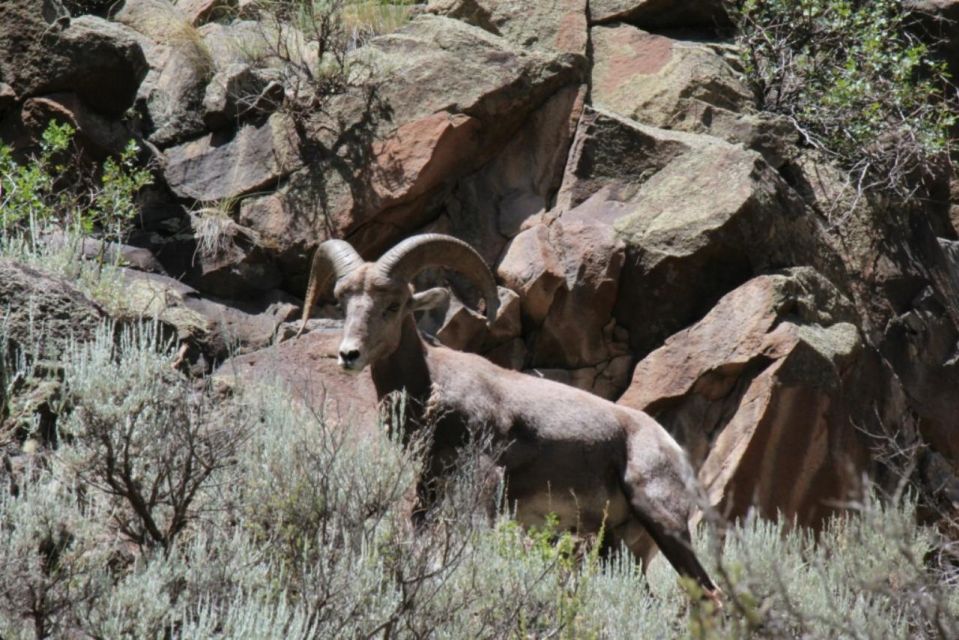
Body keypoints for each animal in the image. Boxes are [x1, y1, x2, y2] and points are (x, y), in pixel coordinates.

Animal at [300, 234, 720, 600]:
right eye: (343, 303)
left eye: (393, 305)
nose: (349, 355)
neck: (431, 383)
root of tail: (671, 448)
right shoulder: (429, 484)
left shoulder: (484, 477)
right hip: (616, 546)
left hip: (662, 520)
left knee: (709, 593)